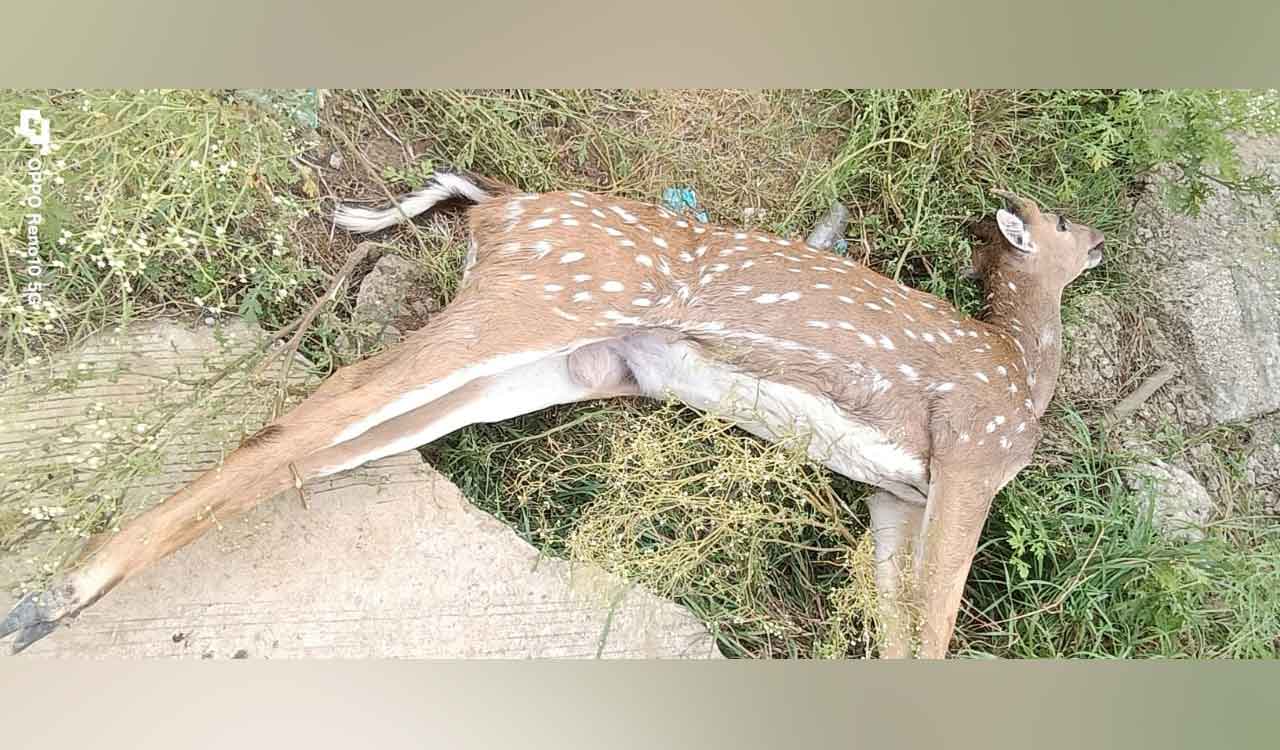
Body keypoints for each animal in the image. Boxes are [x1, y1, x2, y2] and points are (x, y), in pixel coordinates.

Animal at [1, 167, 1104, 658]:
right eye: (1058, 220)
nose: (1095, 240)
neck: (1021, 370)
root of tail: (496, 203)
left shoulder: (893, 497)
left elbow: (894, 634)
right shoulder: (970, 453)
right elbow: (934, 626)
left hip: (562, 362)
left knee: (334, 440)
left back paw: (51, 608)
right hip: (537, 296)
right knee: (328, 401)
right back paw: (46, 601)